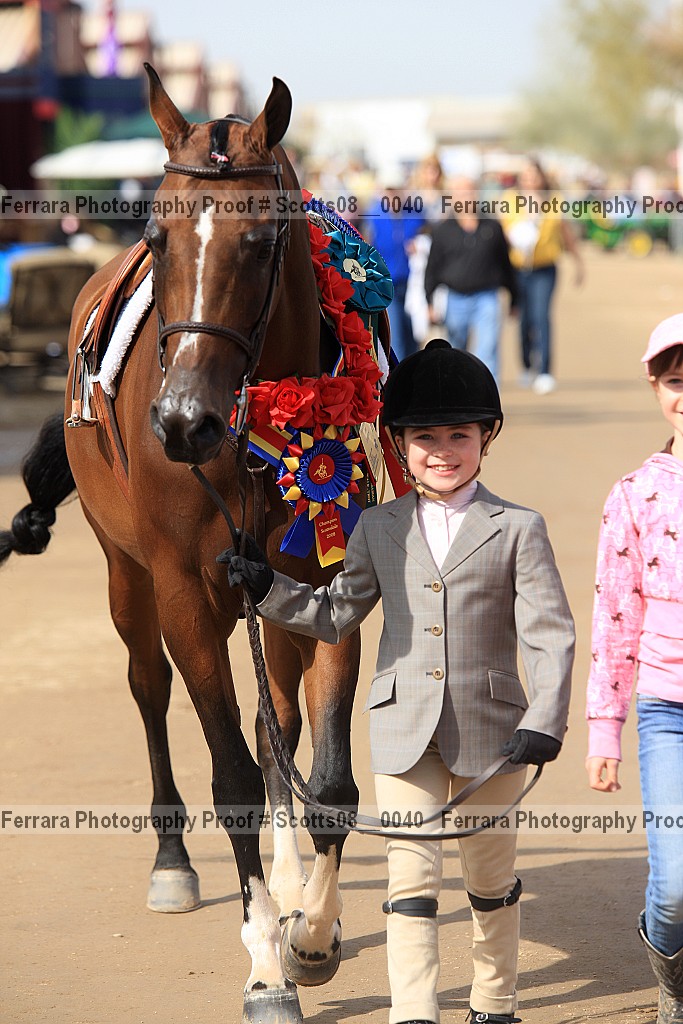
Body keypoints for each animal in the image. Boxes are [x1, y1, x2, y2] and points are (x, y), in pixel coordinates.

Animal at [0, 65, 366, 1024]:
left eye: (261, 241)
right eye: (157, 239)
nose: (180, 422)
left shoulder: (326, 578)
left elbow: (325, 776)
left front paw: (311, 933)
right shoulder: (180, 589)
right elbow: (229, 775)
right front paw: (267, 967)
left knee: (277, 715)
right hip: (124, 573)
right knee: (148, 685)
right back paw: (173, 862)